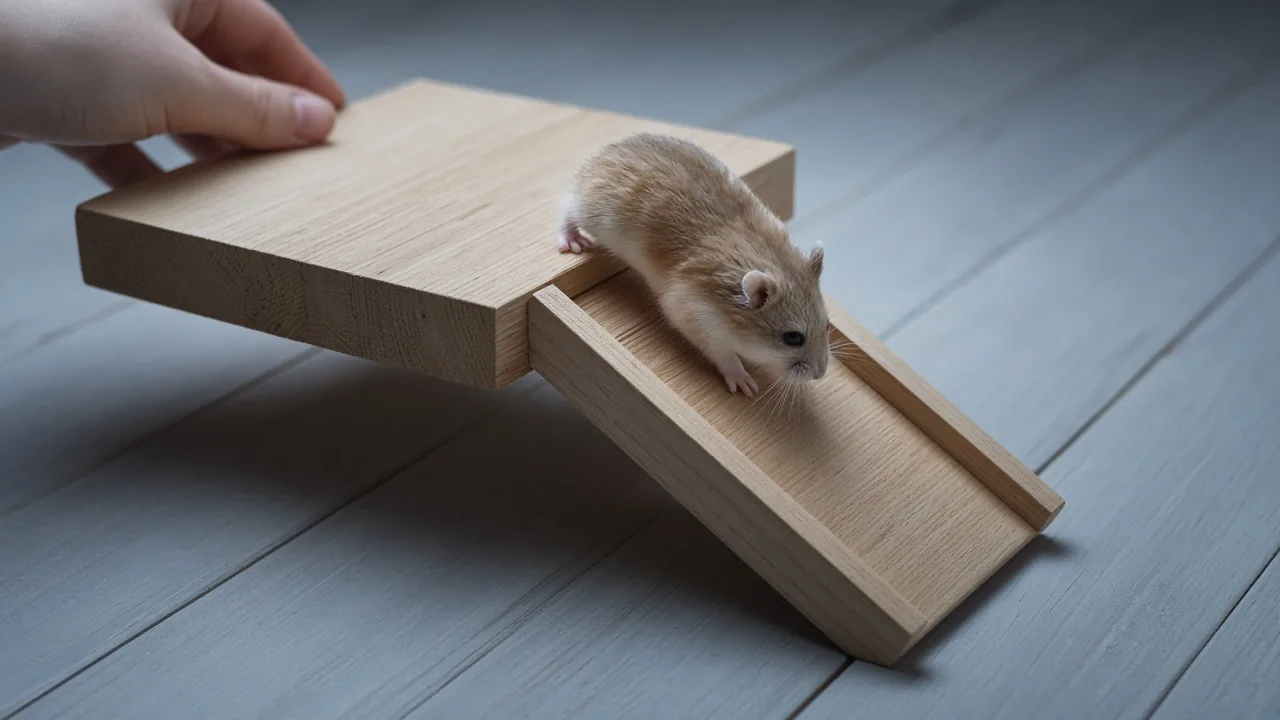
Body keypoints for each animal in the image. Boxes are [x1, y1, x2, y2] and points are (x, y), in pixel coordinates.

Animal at [556, 132, 830, 398]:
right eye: (793, 338)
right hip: (592, 212)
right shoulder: (695, 317)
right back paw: (572, 242)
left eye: (827, 324)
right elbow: (725, 355)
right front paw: (746, 385)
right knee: (567, 208)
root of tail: (601, 155)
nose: (821, 375)